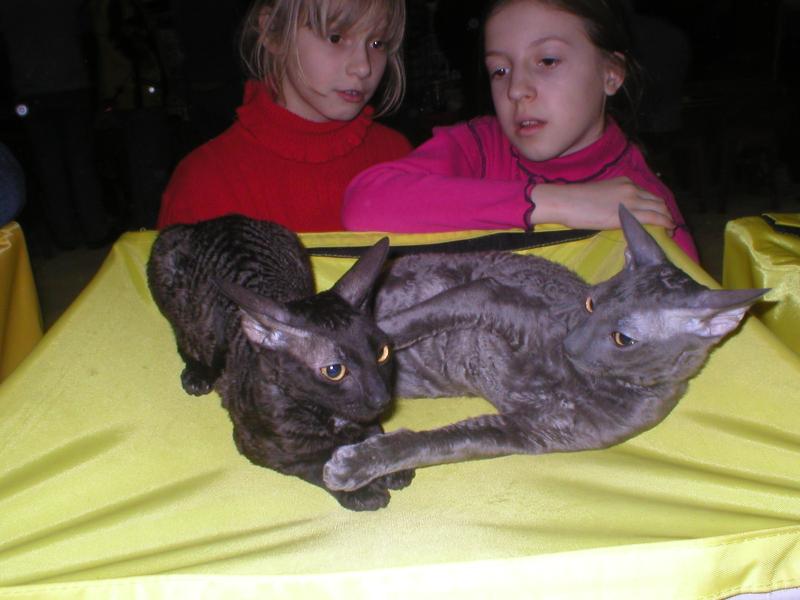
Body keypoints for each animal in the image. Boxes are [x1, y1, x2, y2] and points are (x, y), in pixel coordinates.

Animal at [147, 214, 413, 511]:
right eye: (334, 371)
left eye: (382, 353)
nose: (382, 398)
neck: (325, 411)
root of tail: (215, 220)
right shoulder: (262, 447)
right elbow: (316, 463)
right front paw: (361, 489)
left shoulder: (365, 419)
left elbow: (373, 432)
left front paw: (386, 459)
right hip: (166, 261)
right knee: (182, 335)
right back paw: (197, 372)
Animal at [323, 205, 766, 493]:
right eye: (591, 303)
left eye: (623, 339)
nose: (571, 342)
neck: (578, 378)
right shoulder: (487, 294)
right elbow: (400, 326)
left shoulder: (527, 432)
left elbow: (439, 444)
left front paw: (360, 463)